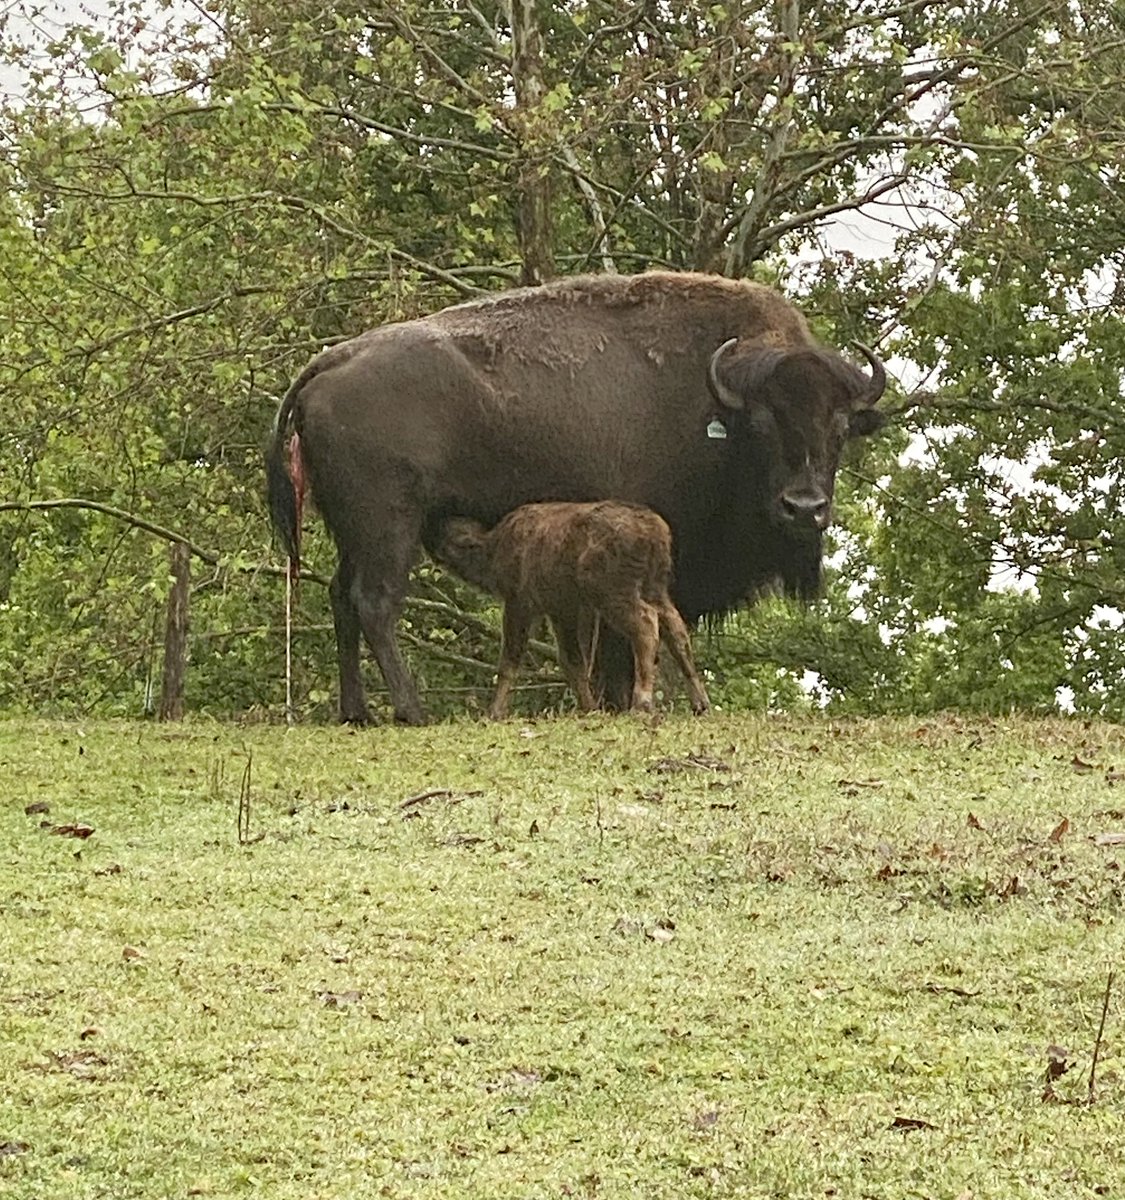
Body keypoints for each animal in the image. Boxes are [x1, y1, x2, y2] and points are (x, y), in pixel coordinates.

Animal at [431, 501, 712, 719]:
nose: (432, 532)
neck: (493, 549)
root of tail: (655, 532)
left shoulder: (520, 602)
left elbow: (510, 659)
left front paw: (494, 712)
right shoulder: (562, 609)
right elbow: (573, 661)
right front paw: (589, 707)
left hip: (612, 591)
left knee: (645, 624)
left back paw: (642, 703)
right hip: (656, 587)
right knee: (676, 630)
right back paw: (700, 703)